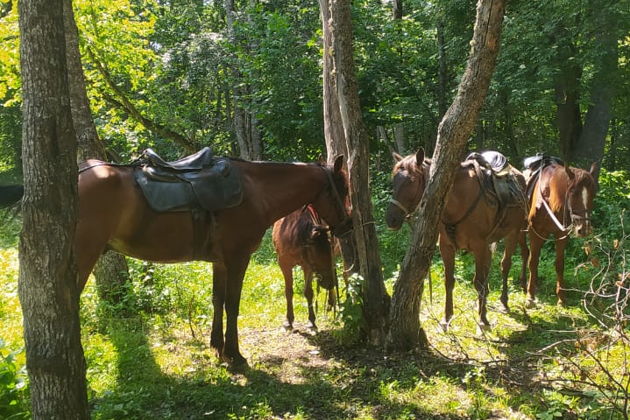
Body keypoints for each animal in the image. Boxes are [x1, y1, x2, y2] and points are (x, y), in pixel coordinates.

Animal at [0, 156, 354, 366]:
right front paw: (235, 355)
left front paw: (217, 347)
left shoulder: (220, 261)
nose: (348, 225)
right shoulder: (237, 258)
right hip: (82, 257)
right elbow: (232, 305)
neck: (255, 191)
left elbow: (217, 300)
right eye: (343, 189)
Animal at [388, 149, 532, 330]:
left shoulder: (479, 246)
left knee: (505, 265)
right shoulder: (446, 247)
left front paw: (483, 319)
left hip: (513, 232)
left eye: (411, 181)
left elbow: (478, 282)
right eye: (394, 179)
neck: (458, 201)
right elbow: (449, 281)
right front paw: (447, 317)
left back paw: (504, 302)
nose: (390, 220)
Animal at [524, 157, 600, 306]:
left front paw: (561, 297)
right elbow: (533, 261)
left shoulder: (561, 235)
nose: (584, 229)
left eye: (593, 194)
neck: (549, 196)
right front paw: (530, 296)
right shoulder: (534, 231)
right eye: (573, 192)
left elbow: (559, 264)